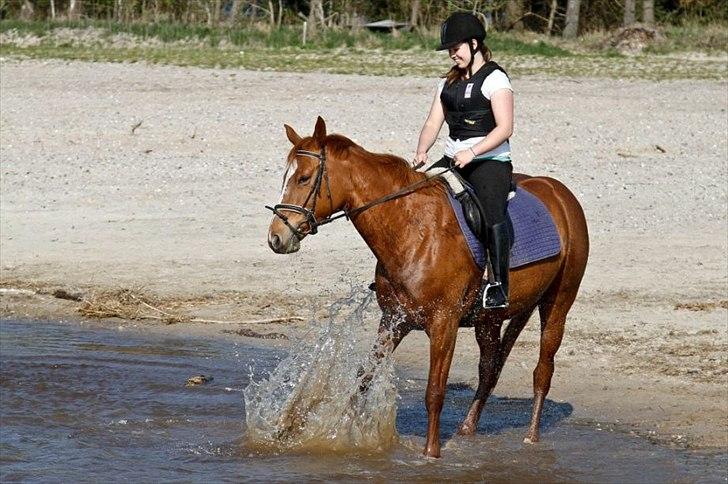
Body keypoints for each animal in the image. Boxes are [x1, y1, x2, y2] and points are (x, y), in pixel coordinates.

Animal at [264, 116, 588, 458]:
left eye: (304, 178)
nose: (276, 238)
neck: (412, 231)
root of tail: (560, 193)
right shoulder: (393, 321)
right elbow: (364, 378)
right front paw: (340, 432)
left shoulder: (443, 324)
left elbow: (435, 391)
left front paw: (431, 454)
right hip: (489, 319)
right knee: (490, 370)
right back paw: (467, 429)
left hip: (557, 304)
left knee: (543, 370)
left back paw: (531, 436)